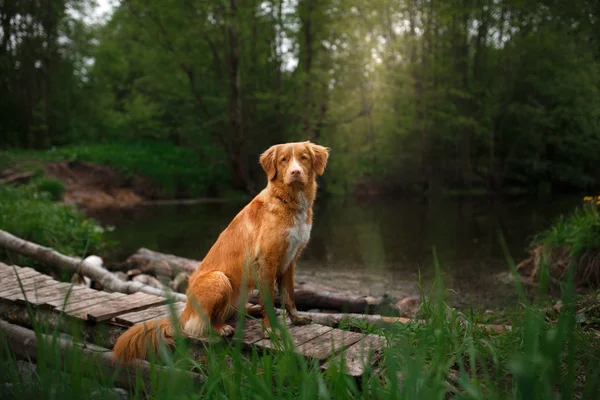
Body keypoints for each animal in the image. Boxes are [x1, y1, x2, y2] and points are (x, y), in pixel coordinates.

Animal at [112, 141, 328, 362]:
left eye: (303, 158)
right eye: (283, 160)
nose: (295, 172)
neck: (288, 201)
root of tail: (184, 313)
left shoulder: (290, 261)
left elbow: (289, 295)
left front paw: (297, 318)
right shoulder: (266, 262)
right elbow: (269, 299)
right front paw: (271, 331)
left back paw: (252, 310)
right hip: (219, 278)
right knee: (202, 323)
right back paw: (221, 328)